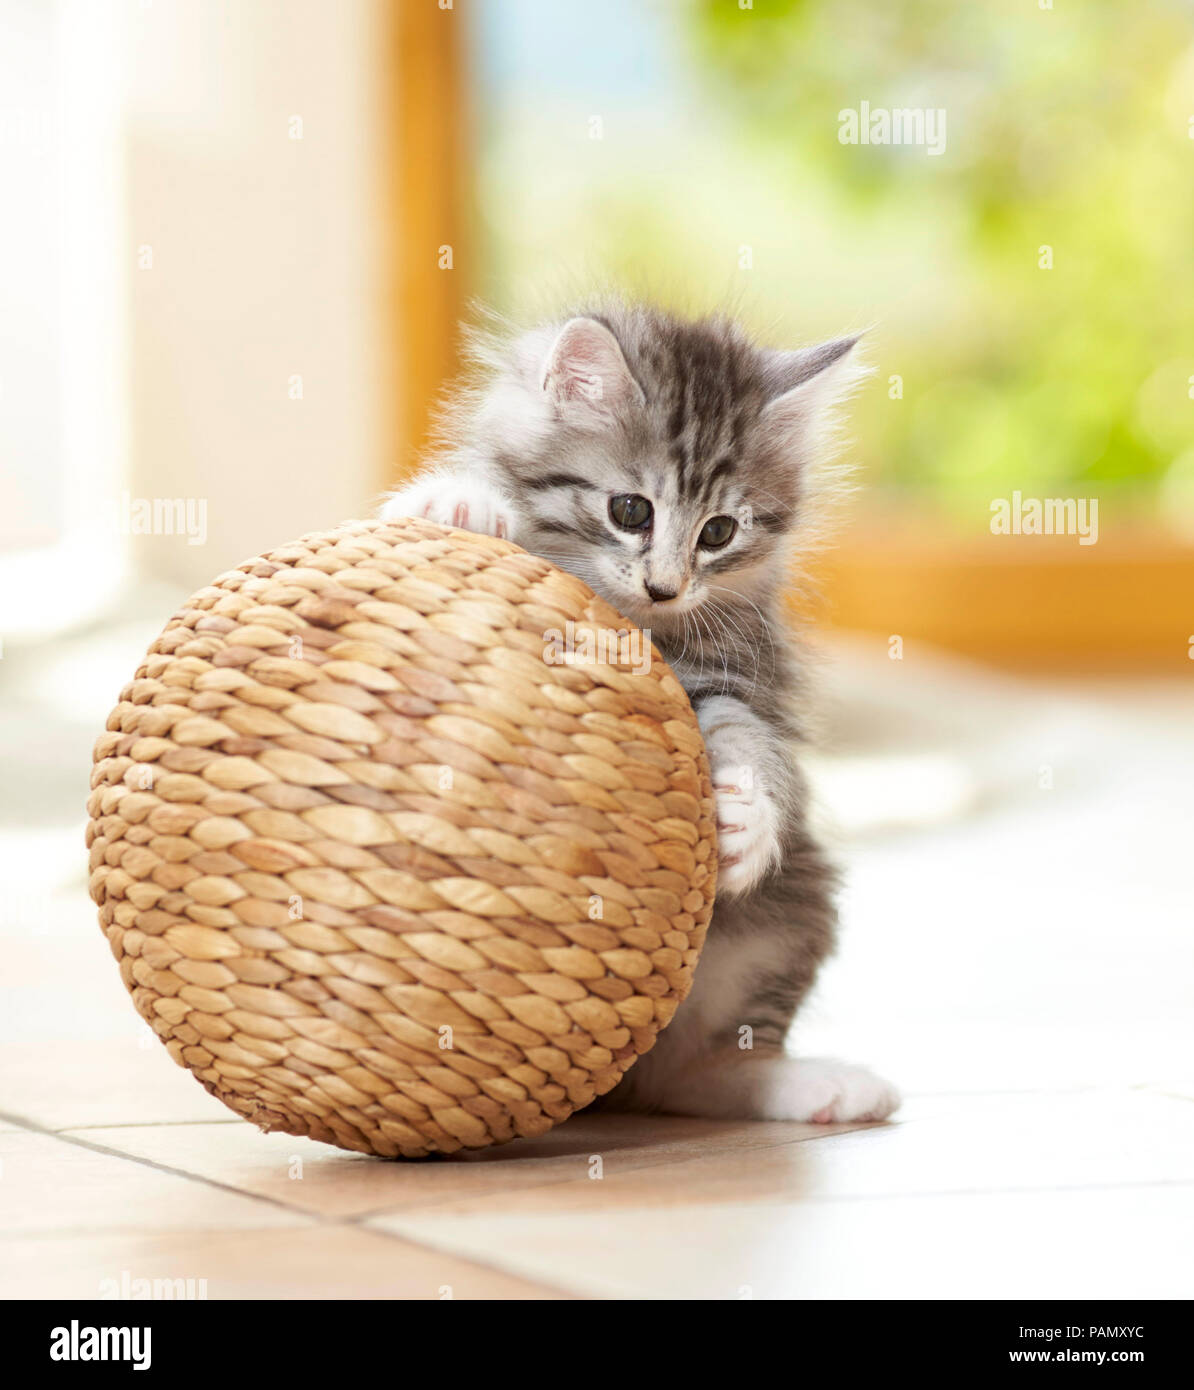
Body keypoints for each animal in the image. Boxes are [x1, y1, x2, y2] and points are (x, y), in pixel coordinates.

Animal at [380, 304, 895, 1128]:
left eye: (718, 532)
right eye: (630, 511)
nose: (665, 587)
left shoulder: (733, 679)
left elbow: (754, 743)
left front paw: (746, 818)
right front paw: (456, 502)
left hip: (794, 909)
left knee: (693, 1071)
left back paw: (811, 1085)